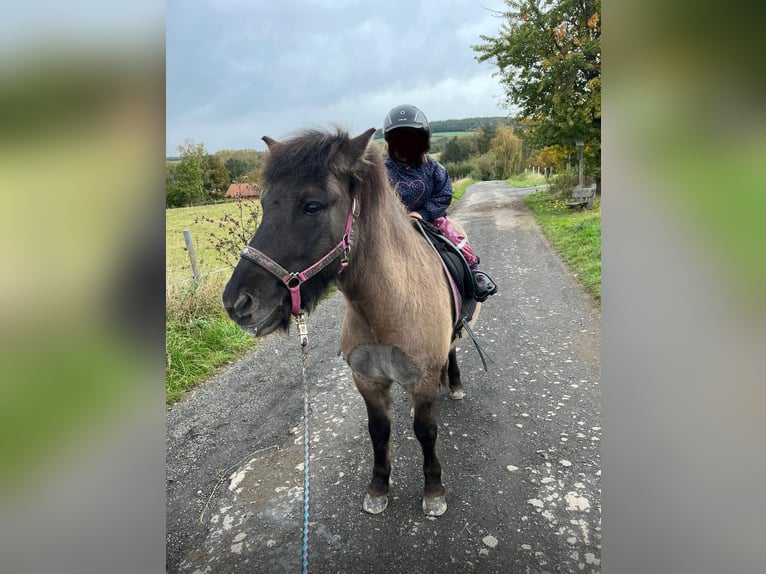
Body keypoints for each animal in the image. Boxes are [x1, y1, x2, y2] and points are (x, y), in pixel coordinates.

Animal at [222, 129, 484, 516]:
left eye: (312, 206)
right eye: (265, 204)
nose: (237, 303)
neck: (387, 309)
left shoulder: (420, 382)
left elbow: (426, 432)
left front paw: (433, 490)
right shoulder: (367, 382)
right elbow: (379, 431)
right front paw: (378, 487)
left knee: (452, 349)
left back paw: (453, 383)